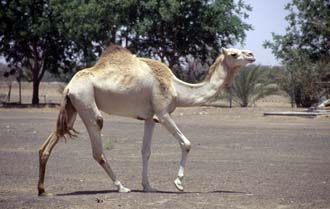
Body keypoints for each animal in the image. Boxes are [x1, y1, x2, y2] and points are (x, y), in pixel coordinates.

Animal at [38, 44, 255, 196]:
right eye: (234, 54)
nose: (251, 55)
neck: (177, 88)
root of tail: (68, 86)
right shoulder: (163, 113)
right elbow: (186, 143)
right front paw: (178, 183)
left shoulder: (150, 118)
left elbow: (146, 151)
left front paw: (148, 186)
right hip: (86, 103)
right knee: (97, 149)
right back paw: (121, 187)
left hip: (72, 107)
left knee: (49, 143)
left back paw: (42, 189)